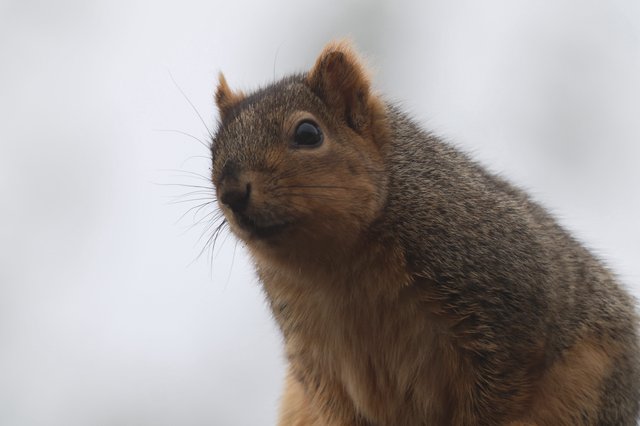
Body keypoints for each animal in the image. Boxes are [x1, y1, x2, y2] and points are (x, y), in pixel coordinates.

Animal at [209, 40, 640, 425]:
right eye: (213, 150)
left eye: (308, 133)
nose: (231, 191)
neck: (337, 265)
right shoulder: (316, 358)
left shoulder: (510, 300)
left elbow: (503, 385)